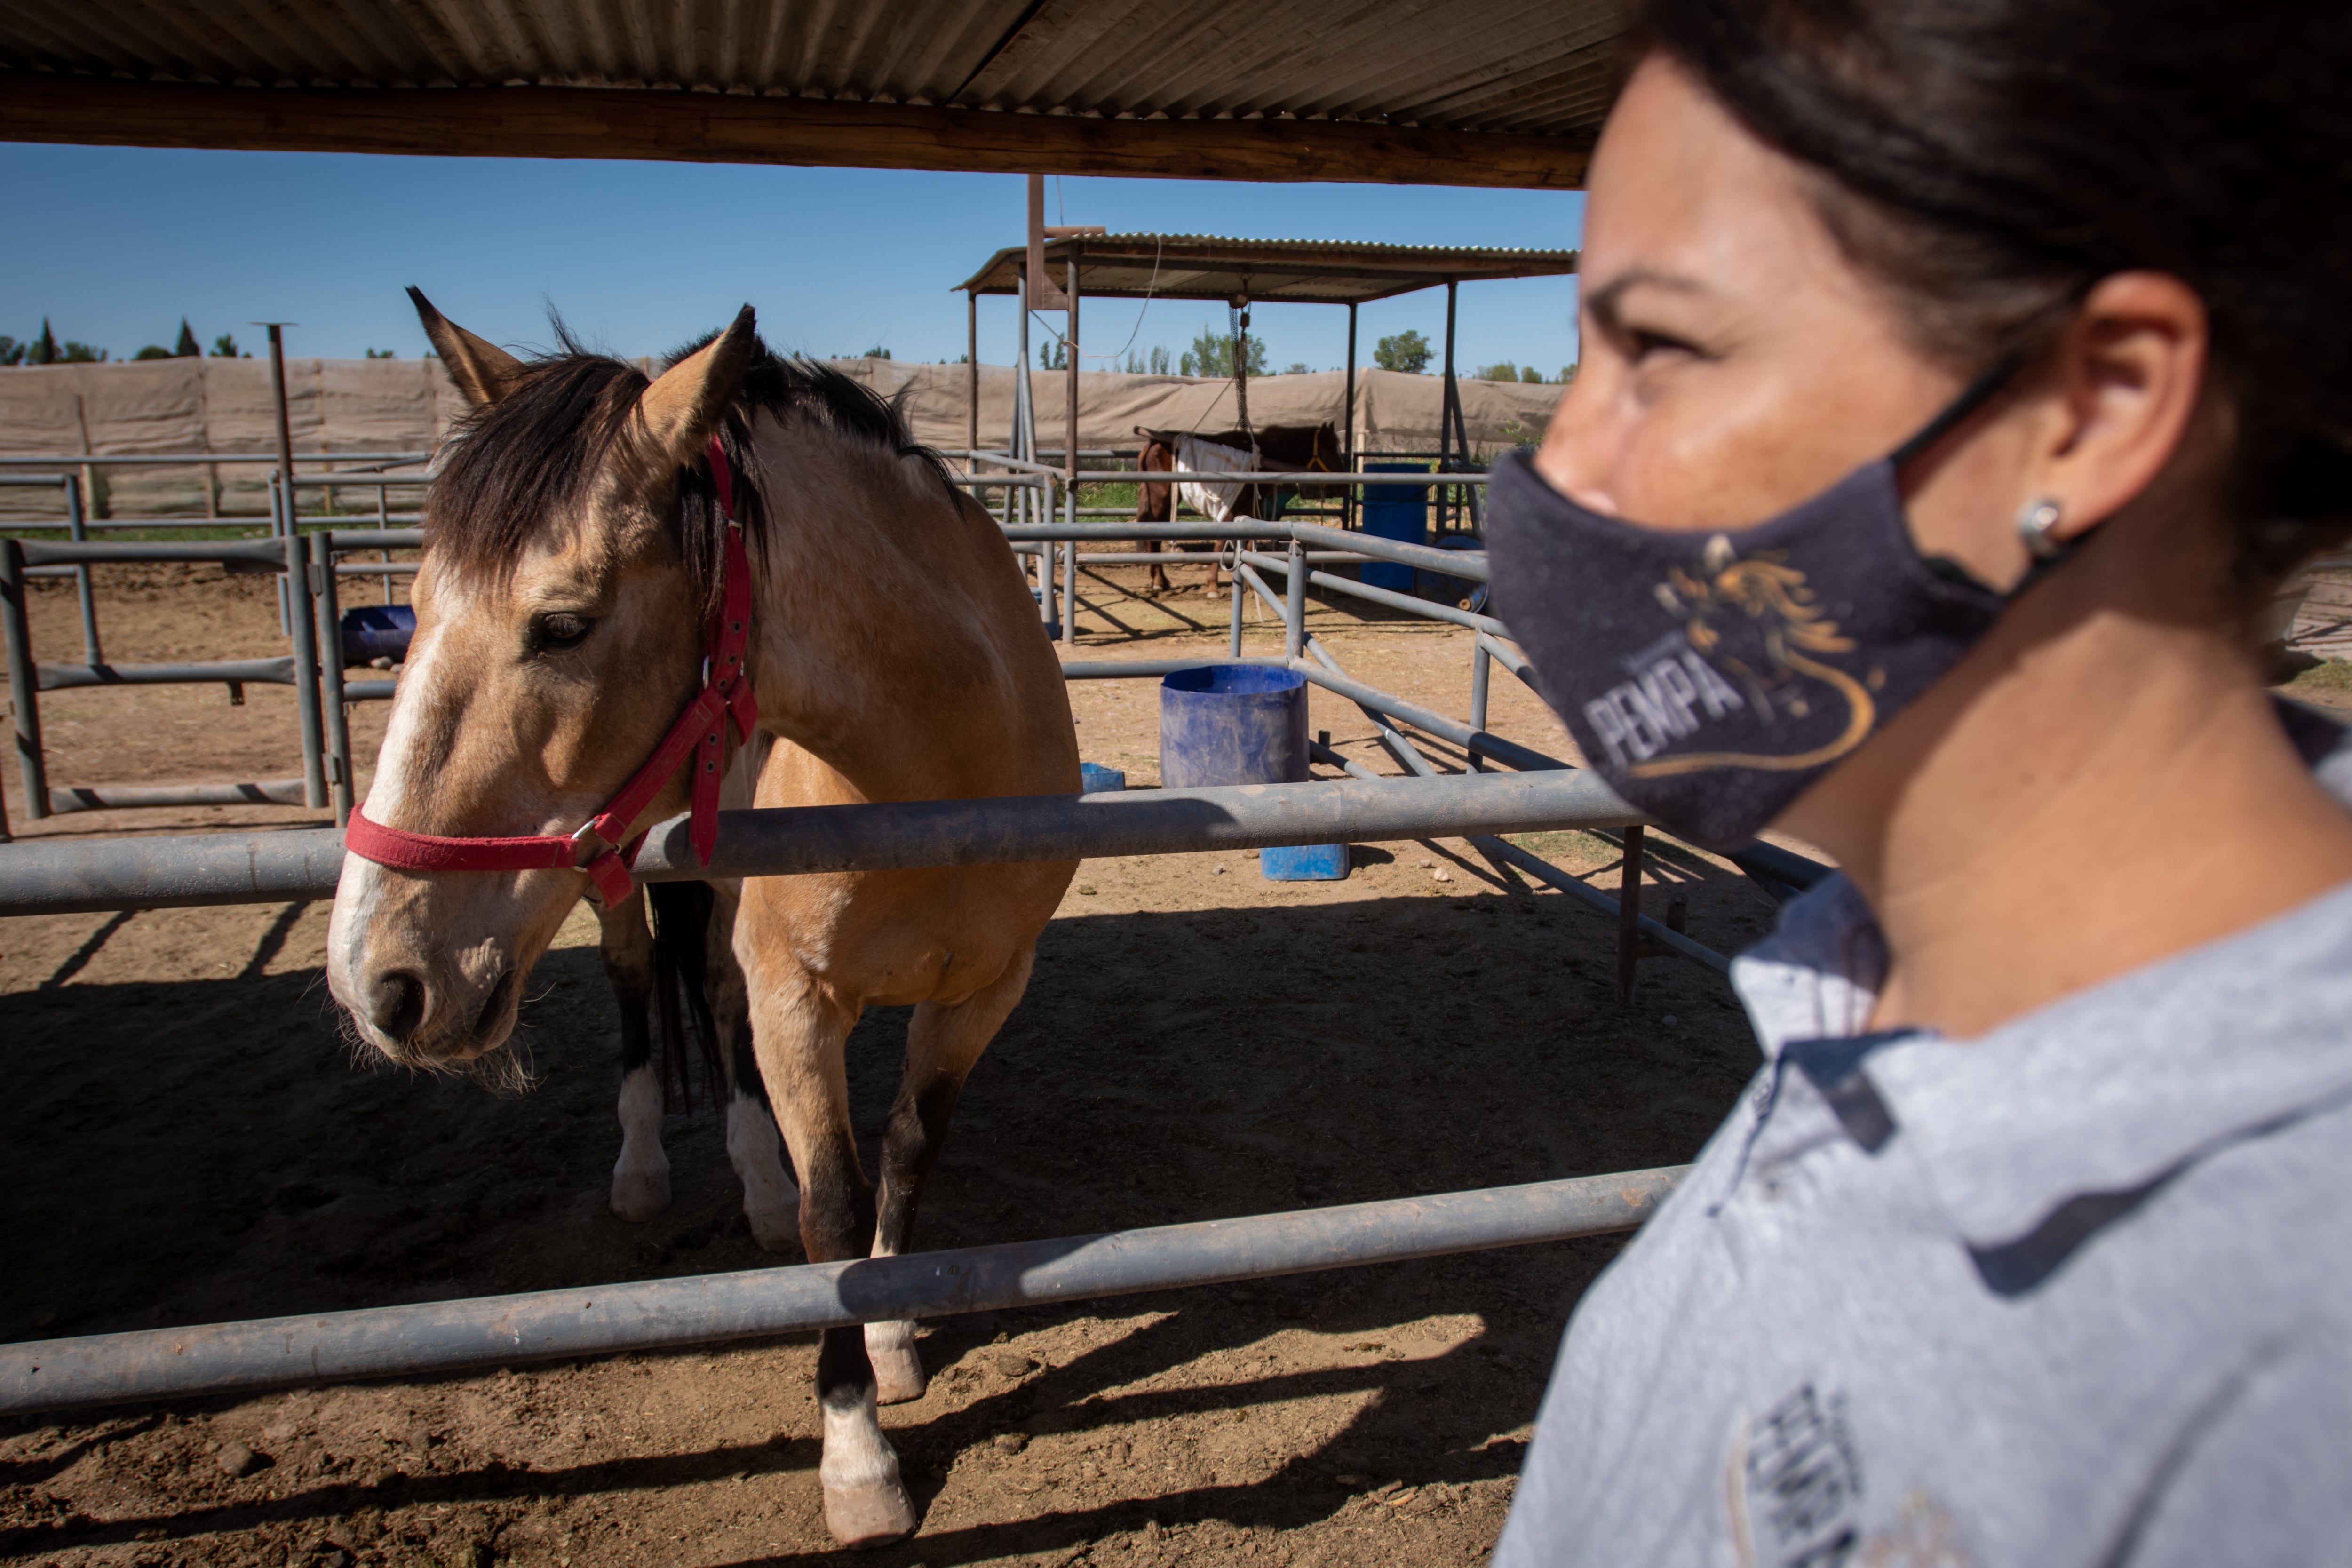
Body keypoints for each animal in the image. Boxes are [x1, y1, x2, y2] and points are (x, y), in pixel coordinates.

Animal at [329, 291, 1082, 1542]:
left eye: (563, 625)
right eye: (418, 608)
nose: (377, 982)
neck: (938, 767)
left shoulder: (987, 990)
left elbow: (907, 1154)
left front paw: (892, 1333)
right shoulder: (796, 995)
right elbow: (835, 1203)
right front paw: (856, 1453)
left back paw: (753, 1185)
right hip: (619, 882)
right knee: (648, 988)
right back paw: (648, 1169)